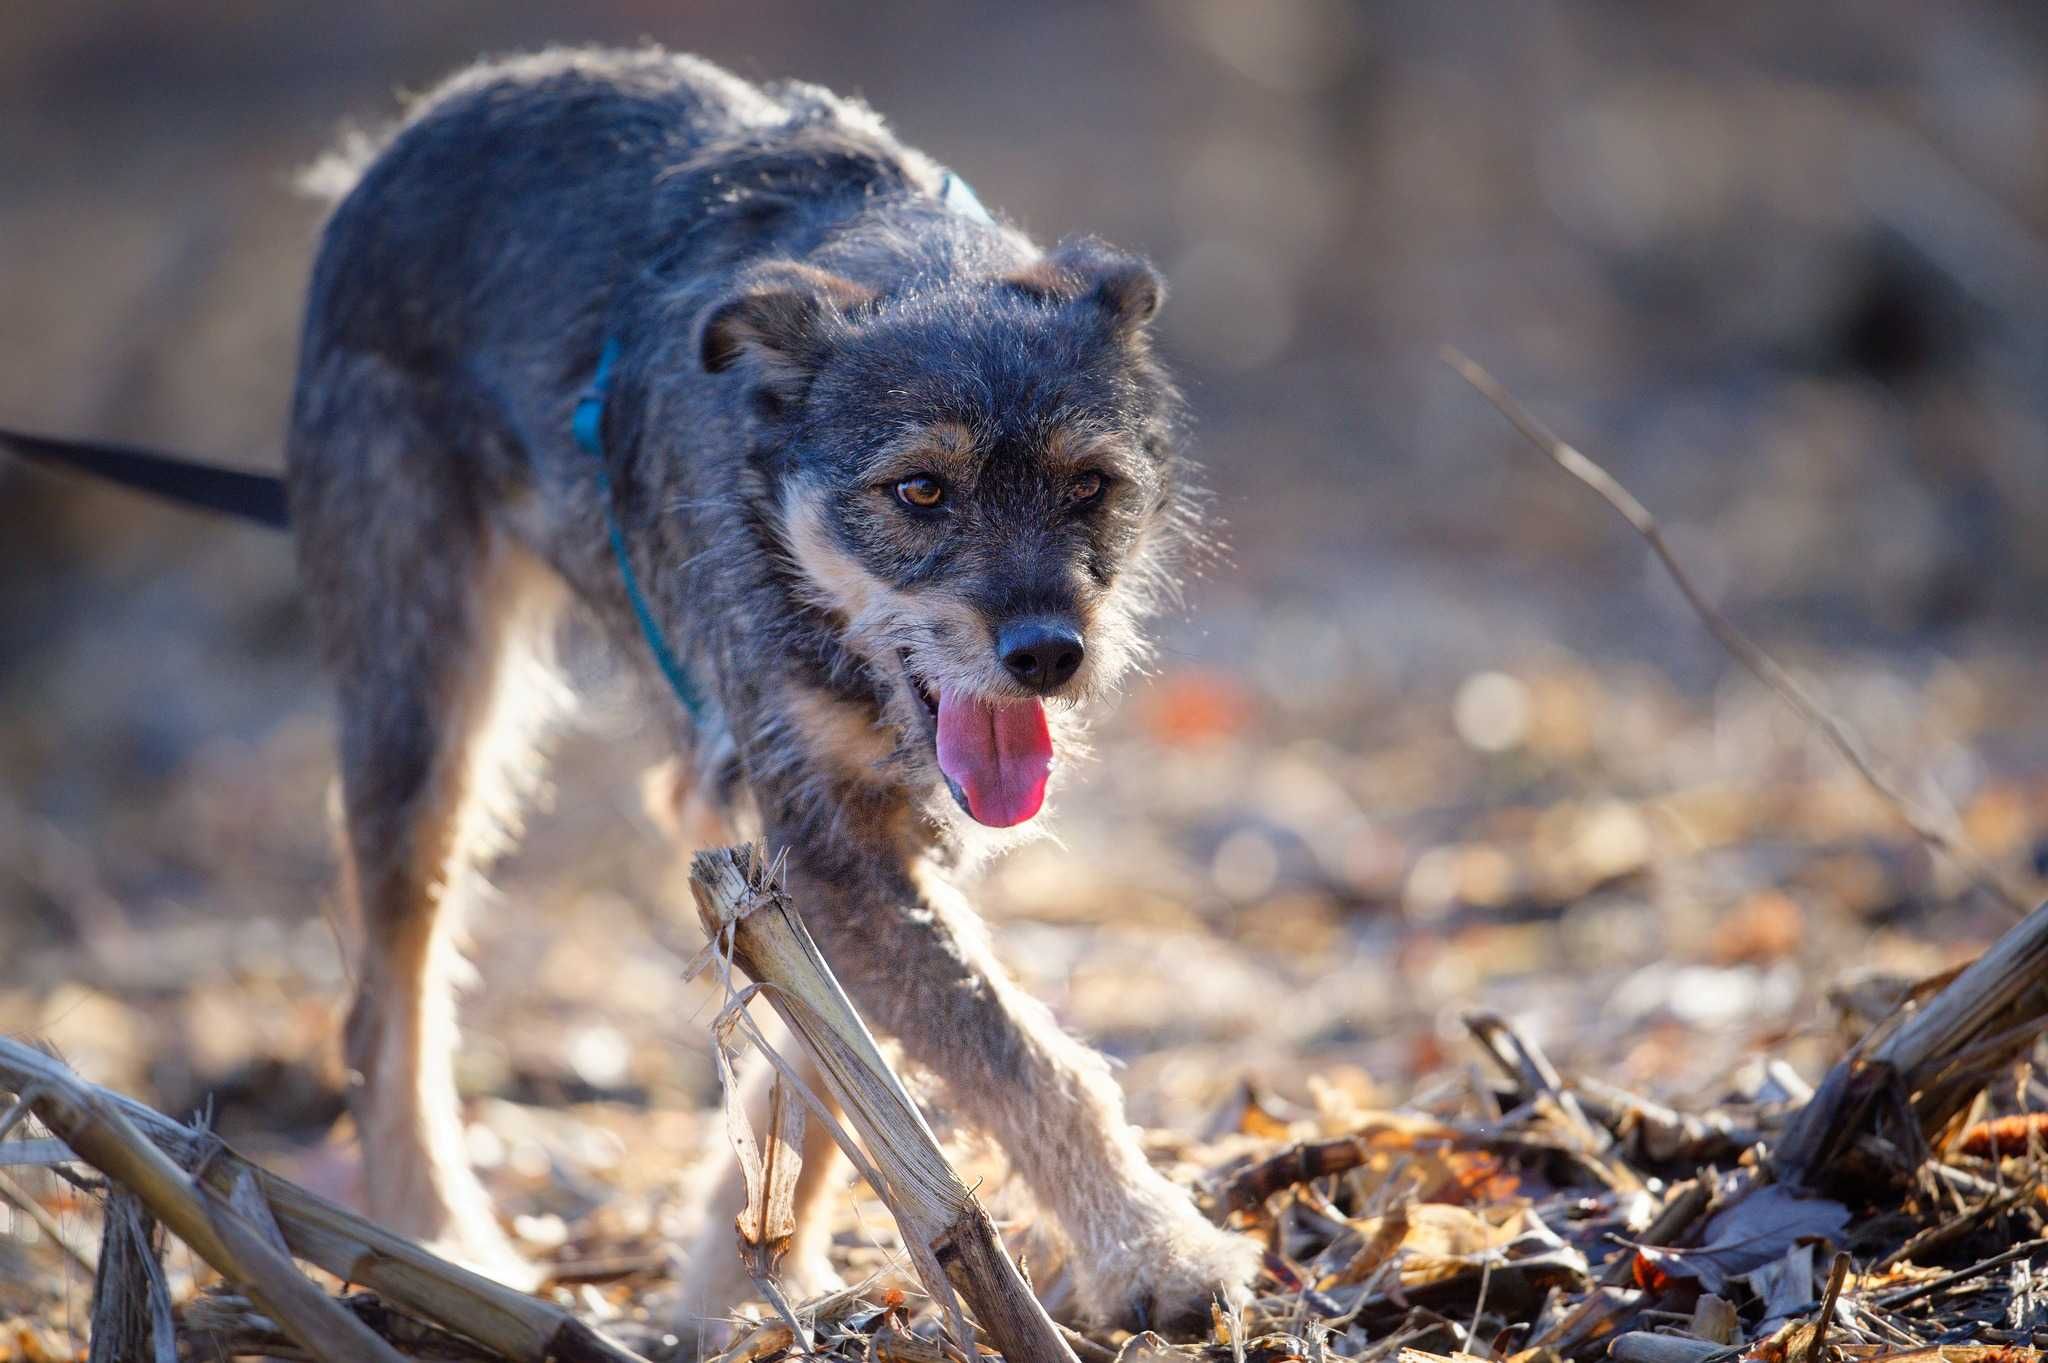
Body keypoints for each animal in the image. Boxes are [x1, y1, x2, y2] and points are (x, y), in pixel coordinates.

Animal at [12, 47, 1261, 1334]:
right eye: (919, 490)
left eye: (1086, 484)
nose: (1047, 652)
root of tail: (403, 135)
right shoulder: (824, 839)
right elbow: (1017, 1053)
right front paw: (1155, 1251)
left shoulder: (809, 854)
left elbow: (835, 1059)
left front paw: (732, 1276)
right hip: (428, 730)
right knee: (381, 1004)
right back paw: (437, 1238)